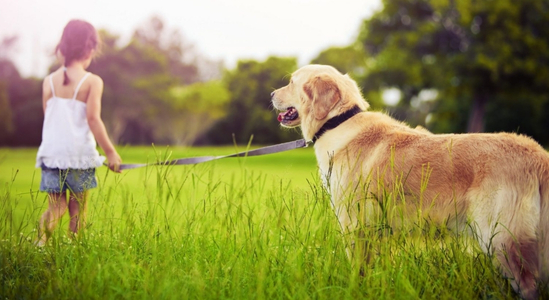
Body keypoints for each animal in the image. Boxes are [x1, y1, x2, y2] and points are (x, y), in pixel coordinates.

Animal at [270, 64, 548, 298]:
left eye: (292, 82)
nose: (271, 93)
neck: (337, 122)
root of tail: (538, 154)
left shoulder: (355, 224)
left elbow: (358, 270)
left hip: (502, 240)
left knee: (529, 285)